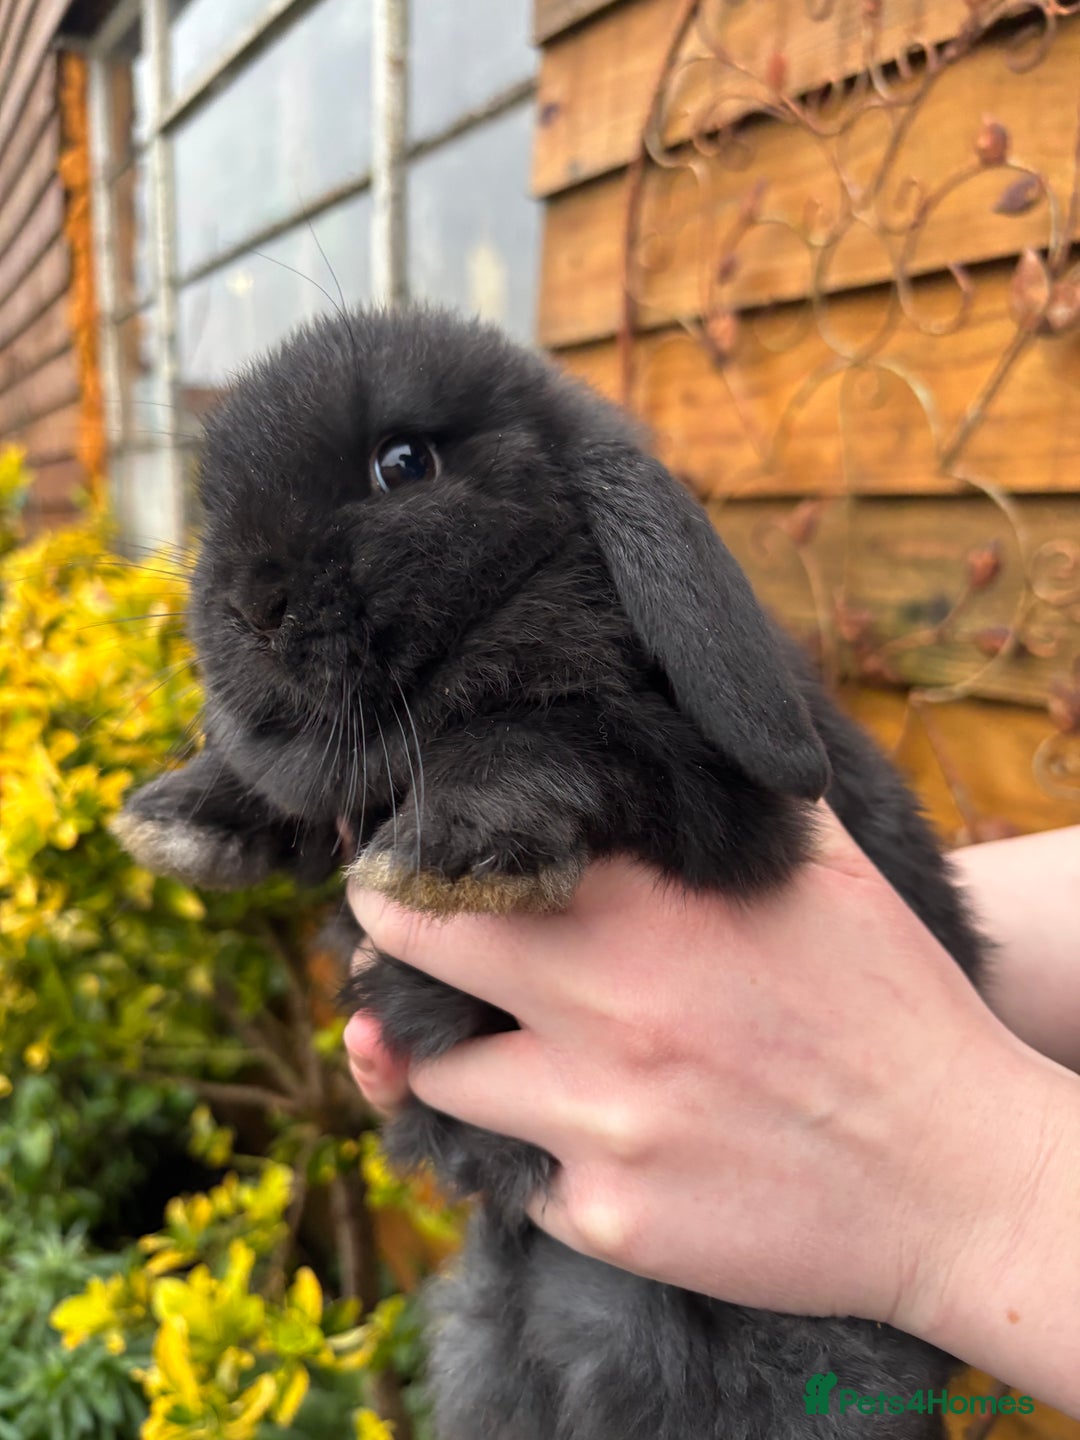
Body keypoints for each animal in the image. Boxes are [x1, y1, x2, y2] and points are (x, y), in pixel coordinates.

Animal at [113, 304, 987, 1440]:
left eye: (404, 462)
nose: (247, 604)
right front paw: (175, 818)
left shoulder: (708, 797)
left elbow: (552, 730)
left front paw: (444, 854)